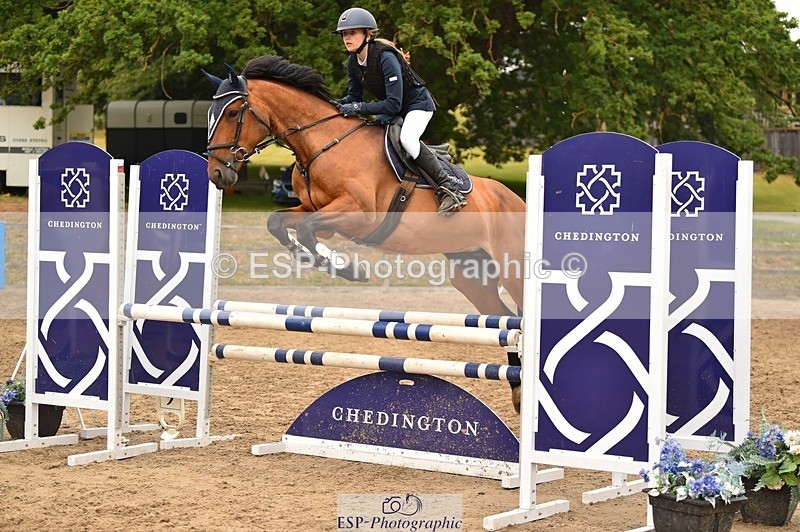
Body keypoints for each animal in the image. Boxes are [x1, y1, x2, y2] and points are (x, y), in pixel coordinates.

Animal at [204, 56, 527, 410]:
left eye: (232, 113)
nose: (216, 173)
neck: (321, 143)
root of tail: (518, 201)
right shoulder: (312, 209)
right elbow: (280, 223)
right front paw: (316, 258)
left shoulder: (360, 215)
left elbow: (307, 230)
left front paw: (345, 268)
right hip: (471, 274)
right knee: (505, 322)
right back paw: (519, 391)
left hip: (513, 272)